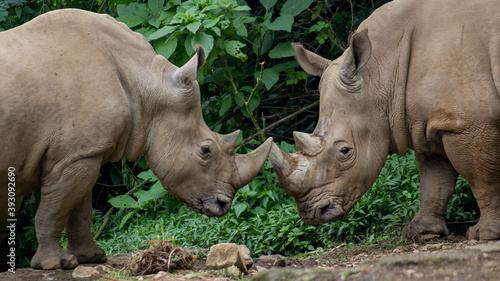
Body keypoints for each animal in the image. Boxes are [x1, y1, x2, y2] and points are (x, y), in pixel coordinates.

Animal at [0, 9, 274, 270]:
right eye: (206, 150)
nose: (223, 204)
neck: (145, 85)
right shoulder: (73, 155)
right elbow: (55, 210)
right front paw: (54, 264)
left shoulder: (82, 152)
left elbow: (80, 209)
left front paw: (92, 258)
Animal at [270, 0, 500, 240]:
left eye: (345, 151)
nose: (312, 214)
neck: (381, 70)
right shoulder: (430, 123)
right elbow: (434, 181)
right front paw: (421, 231)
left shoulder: (468, 123)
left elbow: (482, 179)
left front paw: (485, 234)